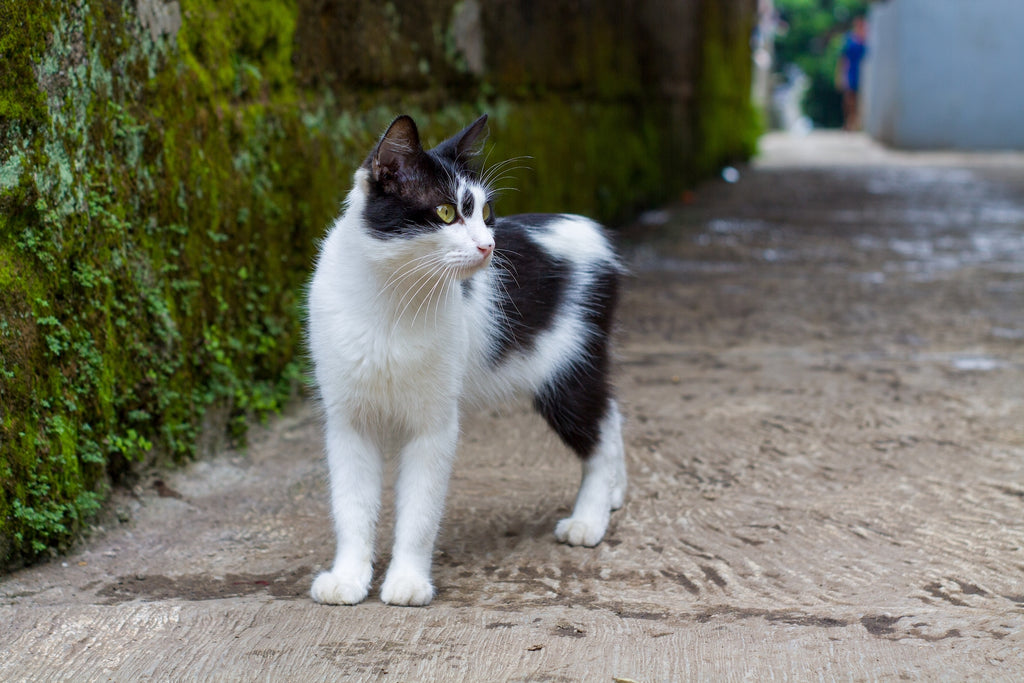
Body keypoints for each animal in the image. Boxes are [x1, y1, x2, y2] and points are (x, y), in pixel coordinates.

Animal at [303, 114, 622, 606]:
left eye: (486, 215)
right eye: (446, 213)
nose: (488, 245)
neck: (392, 299)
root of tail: (592, 228)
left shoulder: (434, 424)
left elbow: (420, 509)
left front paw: (407, 581)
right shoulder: (347, 420)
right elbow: (351, 505)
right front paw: (348, 578)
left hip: (568, 368)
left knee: (601, 433)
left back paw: (590, 517)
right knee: (612, 413)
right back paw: (613, 495)